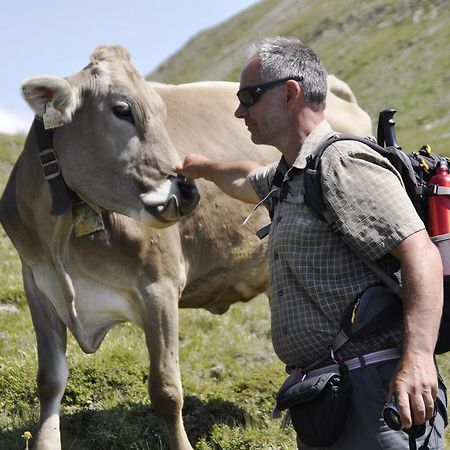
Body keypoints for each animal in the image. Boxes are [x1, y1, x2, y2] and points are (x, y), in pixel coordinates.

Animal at [0, 45, 370, 450]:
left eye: (163, 112)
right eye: (122, 110)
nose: (188, 191)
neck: (62, 241)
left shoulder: (158, 286)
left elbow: (166, 389)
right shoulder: (37, 283)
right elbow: (50, 380)